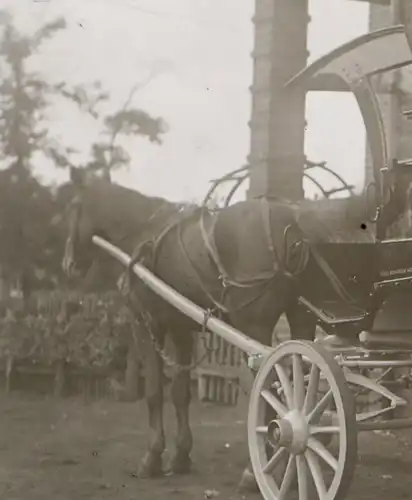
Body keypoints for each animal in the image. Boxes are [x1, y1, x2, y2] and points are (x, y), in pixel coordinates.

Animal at [59, 166, 392, 490]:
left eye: (74, 206)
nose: (68, 264)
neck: (142, 232)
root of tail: (292, 223)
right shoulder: (181, 329)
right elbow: (180, 393)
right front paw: (180, 456)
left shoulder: (145, 322)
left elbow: (154, 392)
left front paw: (151, 459)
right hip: (301, 317)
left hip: (254, 326)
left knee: (269, 385)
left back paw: (258, 469)